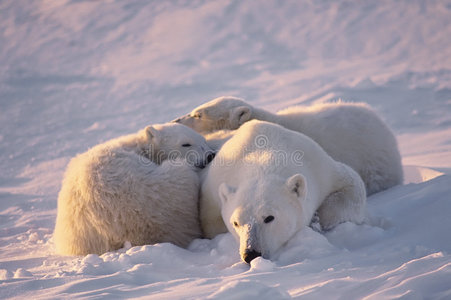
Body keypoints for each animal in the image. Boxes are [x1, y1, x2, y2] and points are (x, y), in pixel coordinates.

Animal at [201, 120, 368, 264]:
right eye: (236, 223)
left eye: (269, 218)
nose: (251, 254)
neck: (264, 156)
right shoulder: (213, 189)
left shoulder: (321, 169)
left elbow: (352, 184)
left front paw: (317, 219)